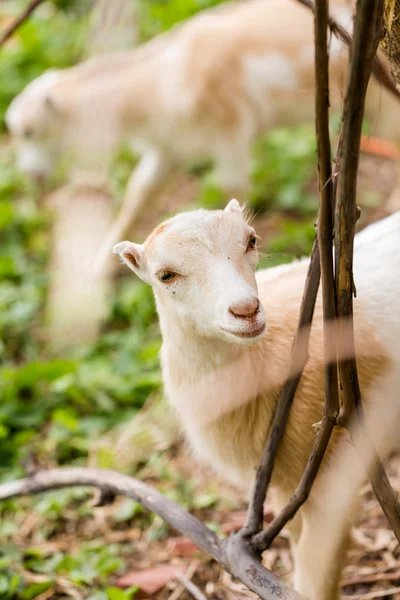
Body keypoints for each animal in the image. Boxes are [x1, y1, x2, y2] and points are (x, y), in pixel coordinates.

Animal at [6, 0, 400, 274]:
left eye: (30, 131)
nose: (31, 176)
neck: (162, 81)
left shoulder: (232, 132)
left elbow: (232, 191)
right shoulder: (169, 149)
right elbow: (139, 192)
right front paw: (99, 267)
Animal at [114, 203, 400, 600]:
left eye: (251, 241)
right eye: (166, 275)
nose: (246, 310)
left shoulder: (335, 472)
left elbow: (316, 573)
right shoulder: (286, 481)